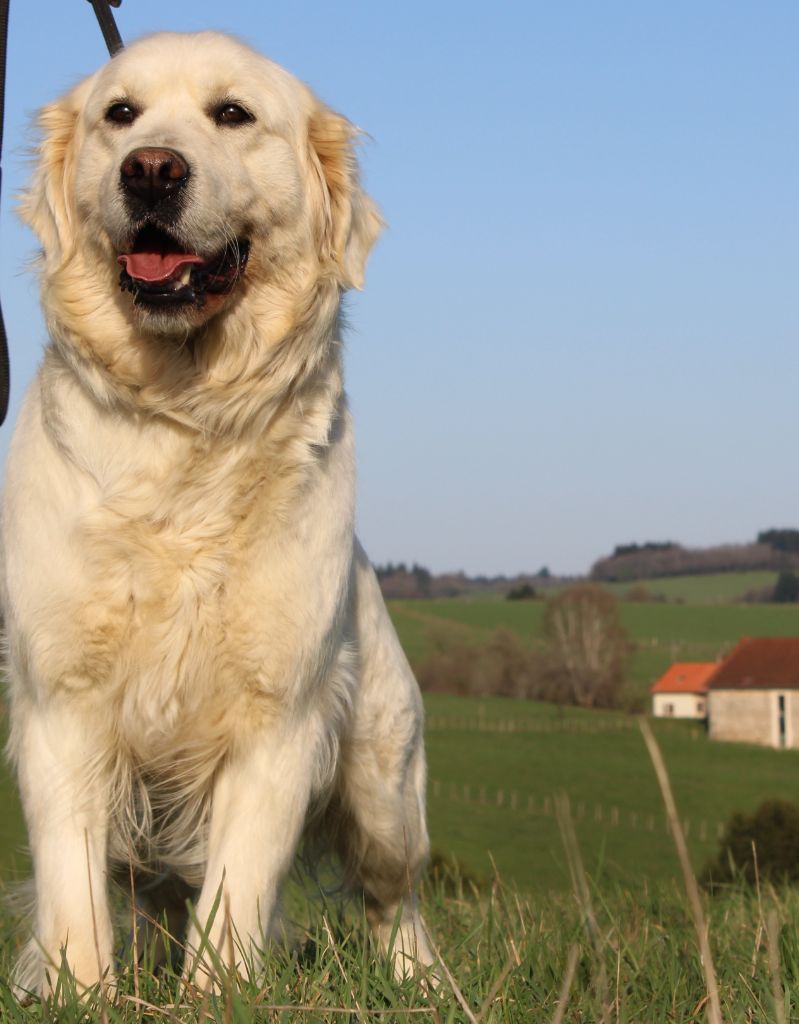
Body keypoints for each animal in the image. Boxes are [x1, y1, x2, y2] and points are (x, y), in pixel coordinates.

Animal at [3, 32, 434, 999]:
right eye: (119, 113)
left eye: (232, 114)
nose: (151, 169)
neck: (182, 420)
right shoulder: (62, 705)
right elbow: (74, 896)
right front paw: (80, 992)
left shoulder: (279, 717)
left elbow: (236, 891)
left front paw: (217, 995)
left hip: (383, 783)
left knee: (395, 894)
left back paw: (425, 985)